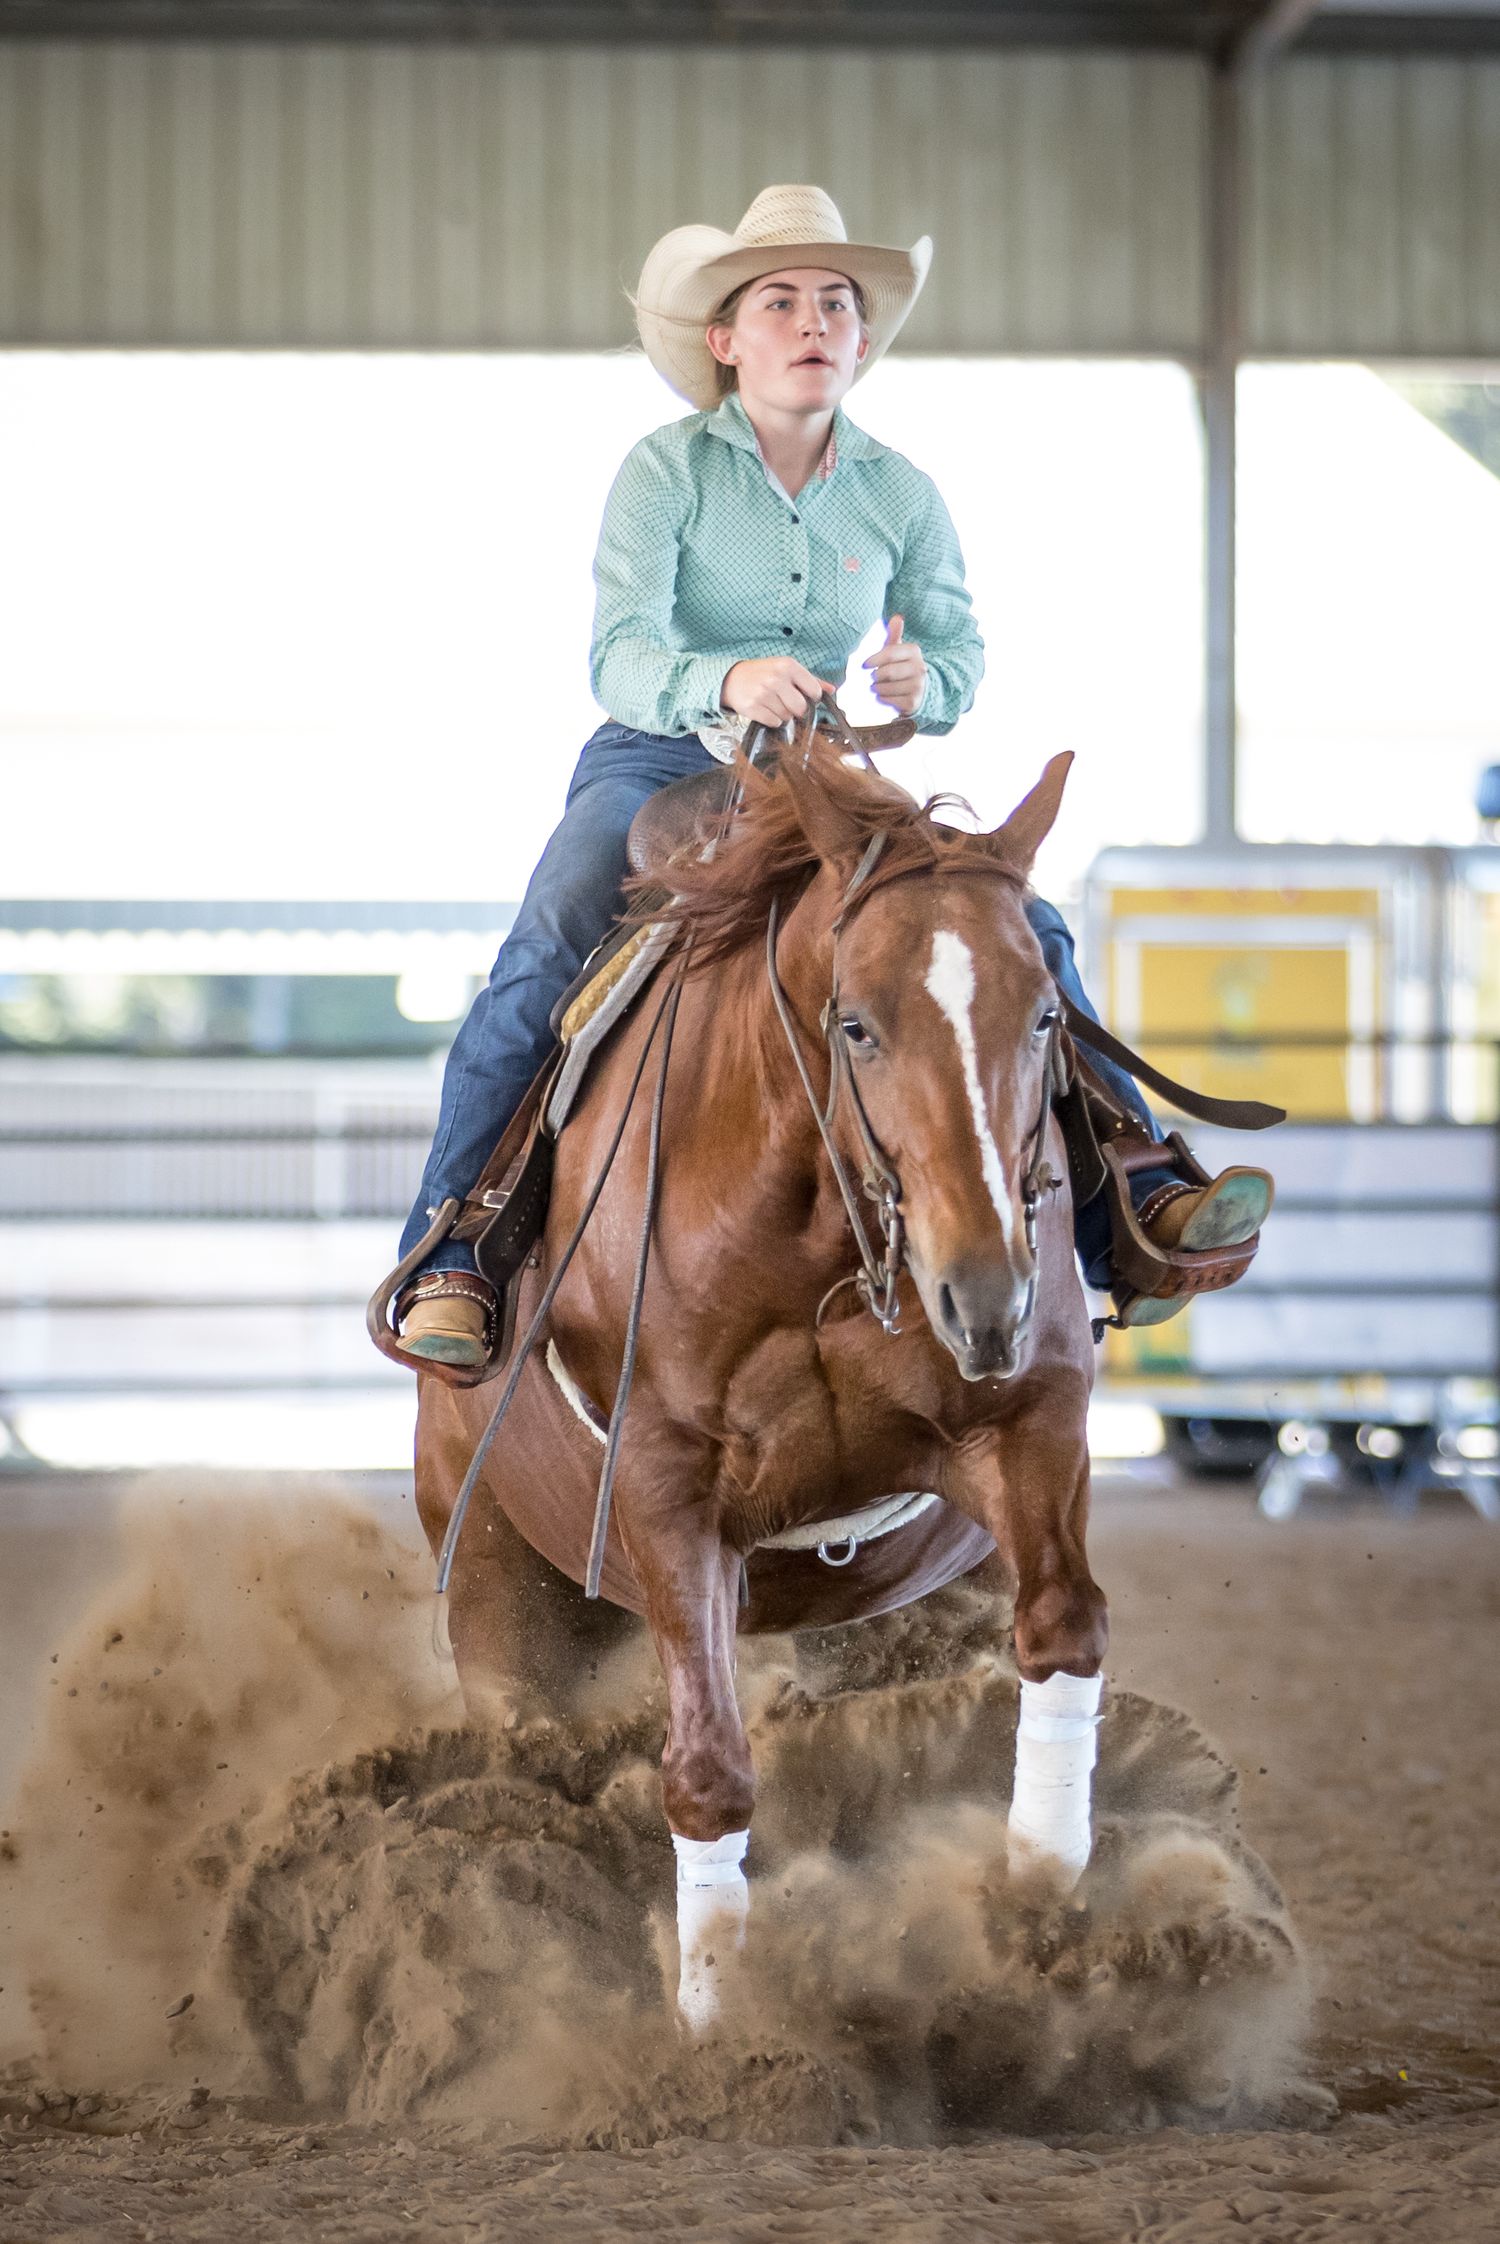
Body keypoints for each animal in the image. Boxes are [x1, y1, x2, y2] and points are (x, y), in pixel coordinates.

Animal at [412, 740, 1109, 2028]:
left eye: (1046, 1013)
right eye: (857, 1025)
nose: (985, 1294)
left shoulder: (1027, 1425)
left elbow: (1063, 1636)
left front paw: (1037, 1927)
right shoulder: (665, 1492)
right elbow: (706, 1773)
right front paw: (717, 2025)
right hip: (490, 1581)